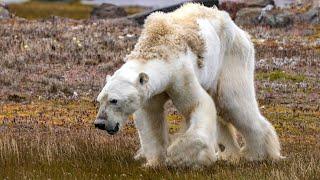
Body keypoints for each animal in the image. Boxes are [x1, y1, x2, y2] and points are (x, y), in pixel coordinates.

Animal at [93, 3, 282, 167]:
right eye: (100, 100)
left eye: (114, 100)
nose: (100, 123)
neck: (157, 47)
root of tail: (240, 31)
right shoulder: (151, 92)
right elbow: (150, 118)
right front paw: (153, 162)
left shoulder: (179, 74)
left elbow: (198, 105)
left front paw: (178, 155)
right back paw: (228, 154)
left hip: (231, 57)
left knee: (232, 102)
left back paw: (258, 154)